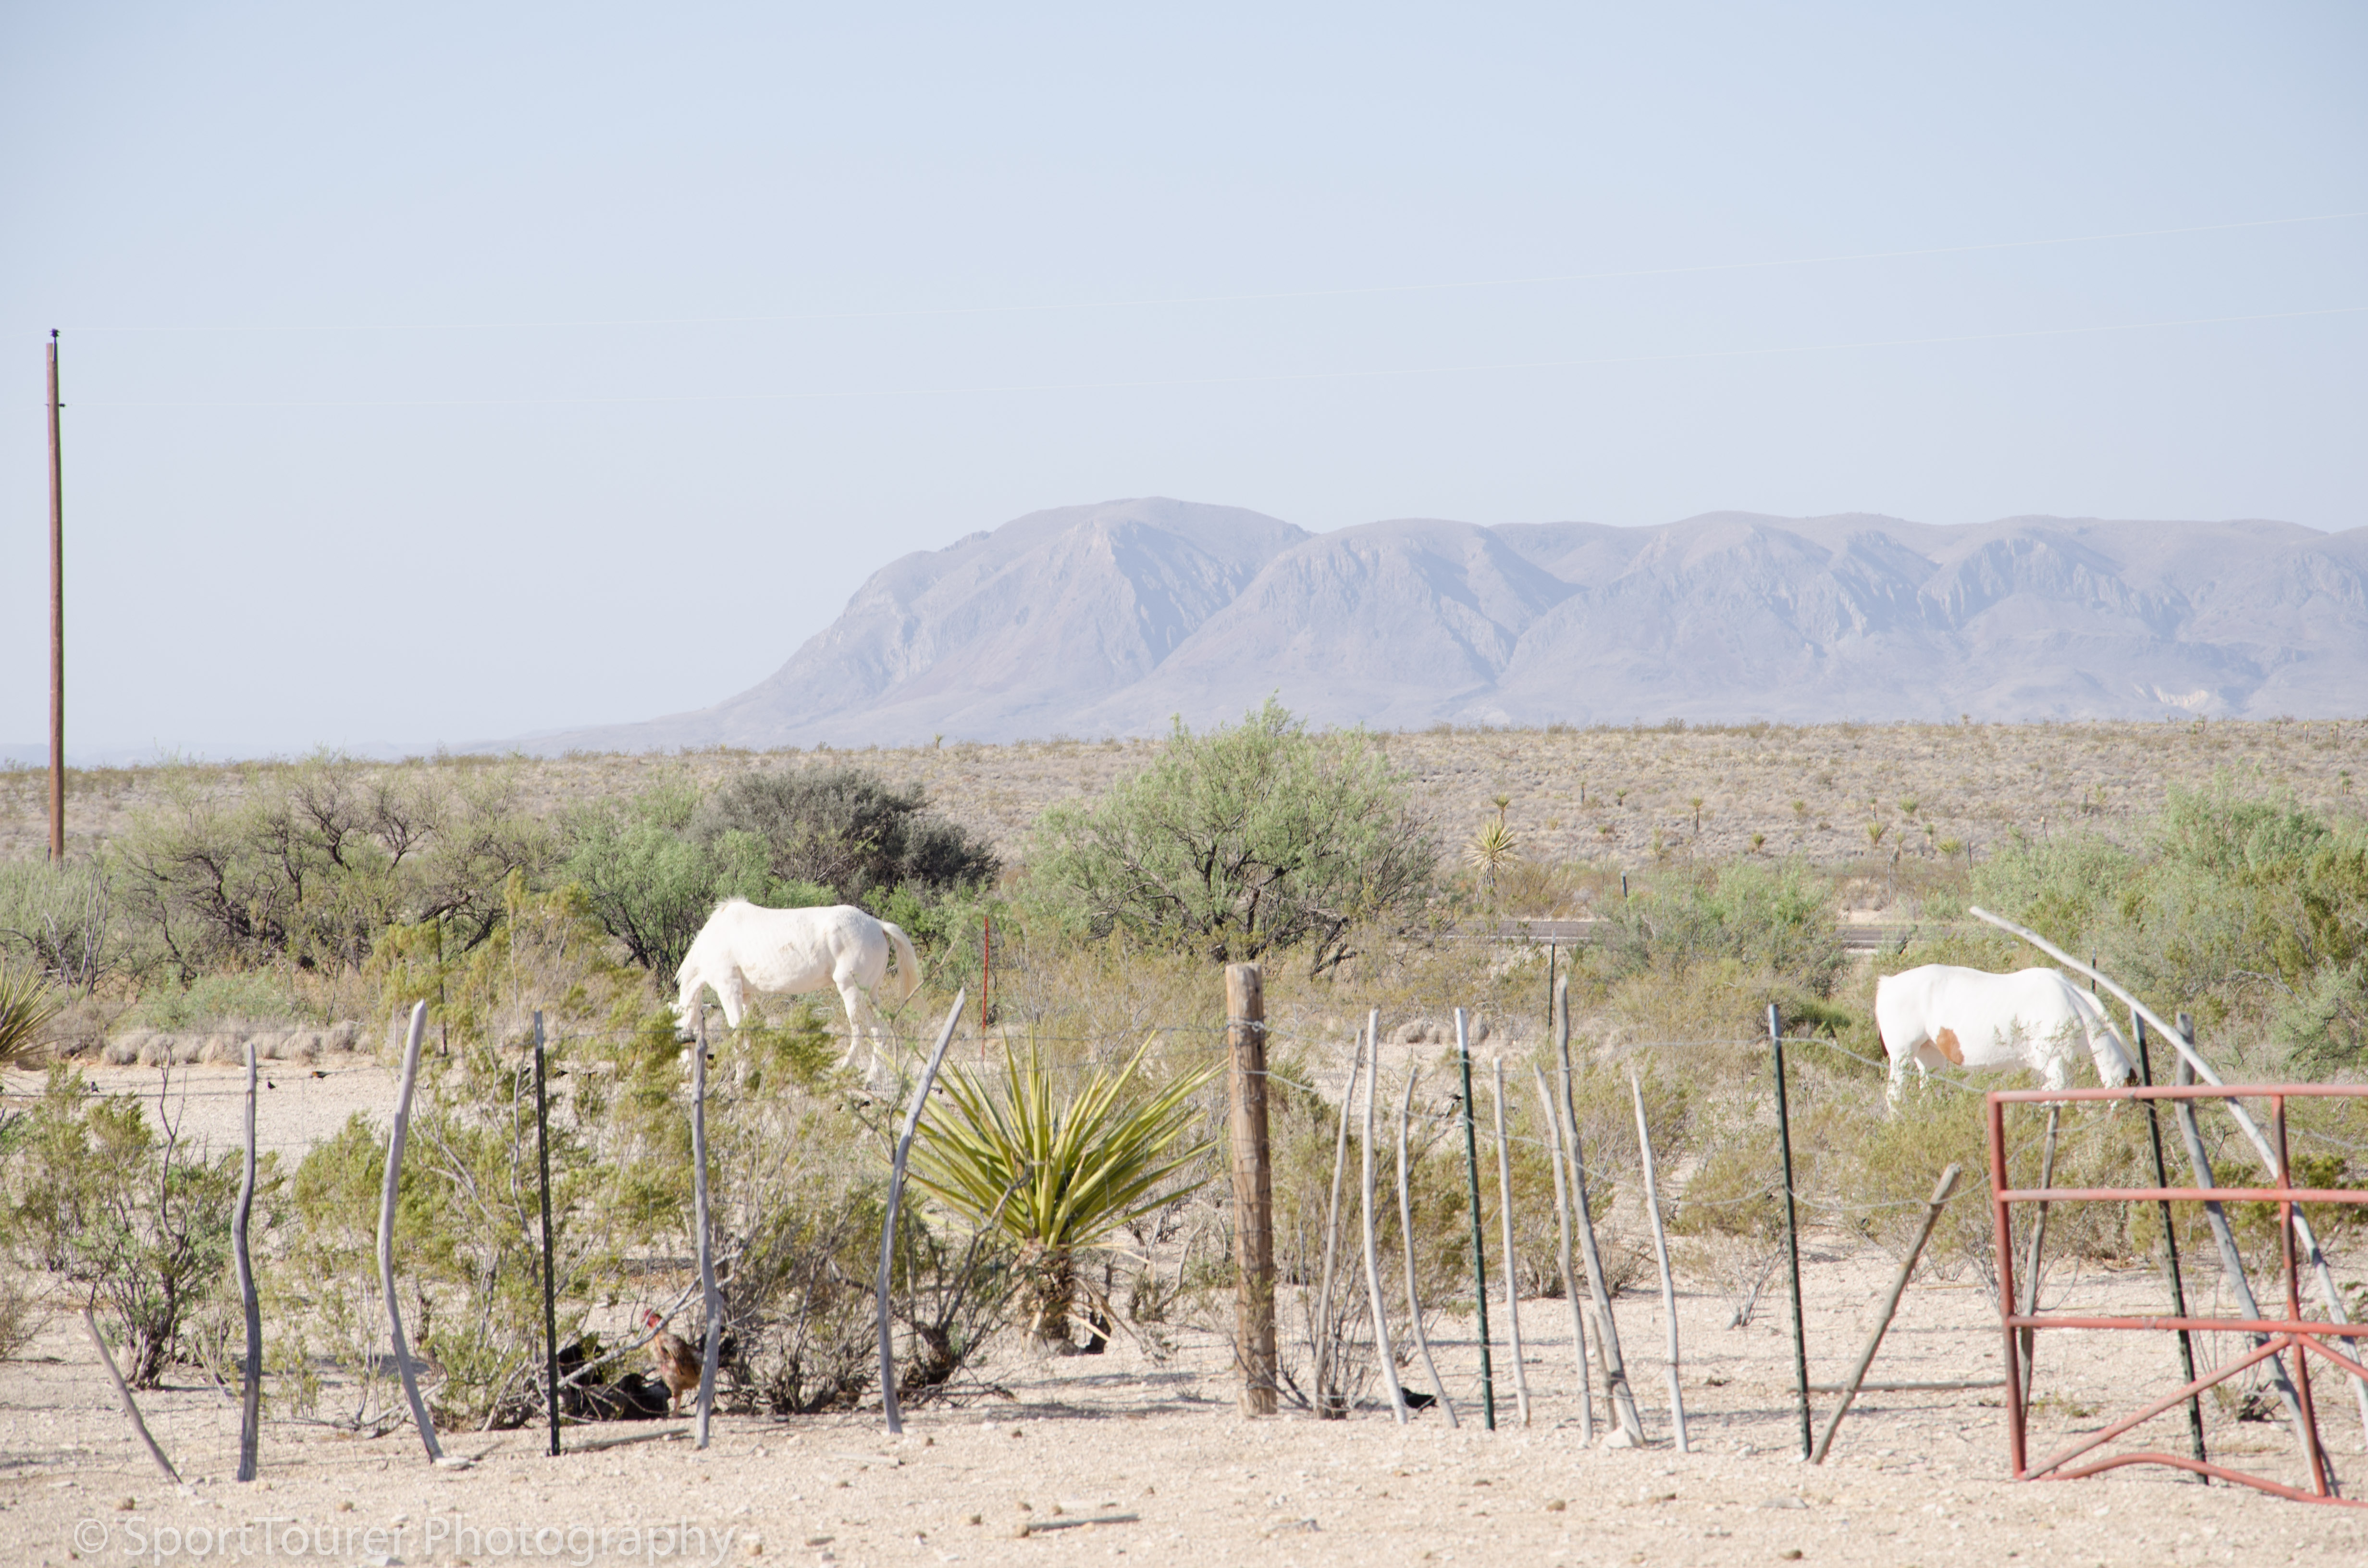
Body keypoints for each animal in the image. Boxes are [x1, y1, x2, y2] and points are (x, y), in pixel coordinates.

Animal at [674, 899, 921, 1082]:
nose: (684, 1073)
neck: (716, 937)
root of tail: (878, 924)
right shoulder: (745, 995)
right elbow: (750, 1031)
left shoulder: (729, 990)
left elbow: (738, 1032)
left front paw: (739, 1077)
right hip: (870, 994)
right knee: (880, 1030)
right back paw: (872, 1077)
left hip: (851, 992)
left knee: (859, 1032)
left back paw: (841, 1071)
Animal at [1875, 963, 2136, 1107]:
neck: (2071, 1005)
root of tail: (1887, 984)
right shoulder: (2055, 1067)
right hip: (1901, 1057)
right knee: (1894, 1098)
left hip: (1930, 1058)